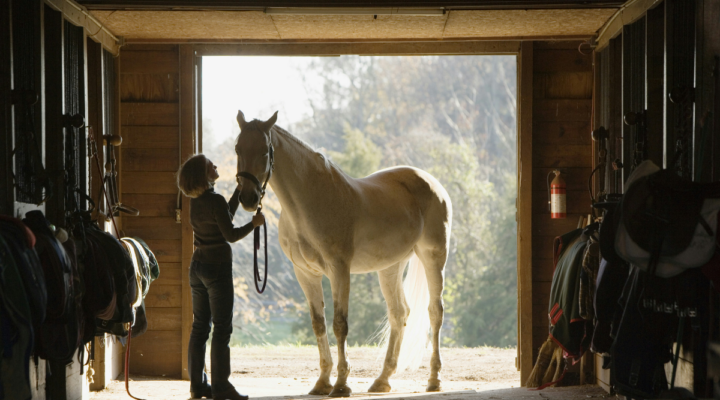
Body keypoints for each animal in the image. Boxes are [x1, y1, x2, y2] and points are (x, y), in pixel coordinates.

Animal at [233, 110, 452, 396]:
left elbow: (340, 324)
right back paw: (382, 380)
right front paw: (322, 382)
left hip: (433, 256)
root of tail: (433, 183)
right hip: (390, 267)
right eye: (238, 148)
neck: (310, 201)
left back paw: (434, 379)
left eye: (263, 152)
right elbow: (318, 323)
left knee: (435, 312)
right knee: (399, 313)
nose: (248, 199)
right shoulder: (305, 273)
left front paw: (341, 384)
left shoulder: (339, 269)